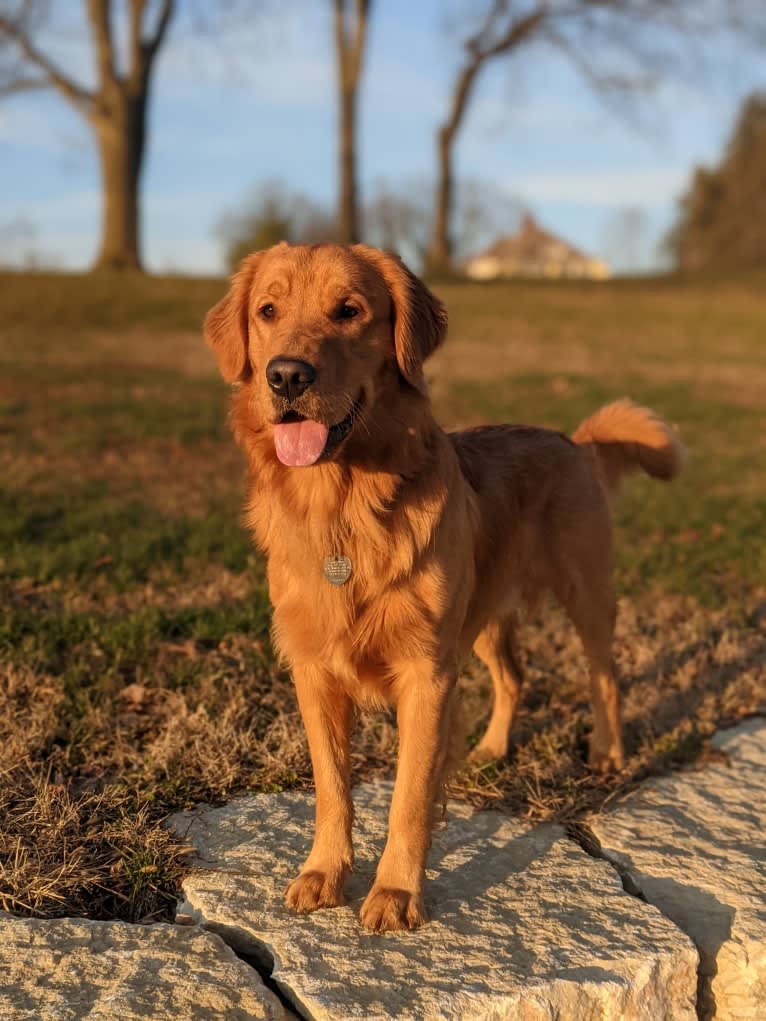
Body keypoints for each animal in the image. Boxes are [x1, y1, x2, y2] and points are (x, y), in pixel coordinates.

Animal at [204, 240, 682, 935]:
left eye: (349, 310)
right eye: (267, 310)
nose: (287, 376)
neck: (345, 511)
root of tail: (573, 441)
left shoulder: (426, 672)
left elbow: (408, 794)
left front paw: (397, 892)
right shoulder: (314, 671)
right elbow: (331, 787)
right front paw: (325, 872)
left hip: (584, 594)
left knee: (605, 677)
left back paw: (608, 751)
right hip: (479, 620)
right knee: (513, 676)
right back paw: (491, 747)